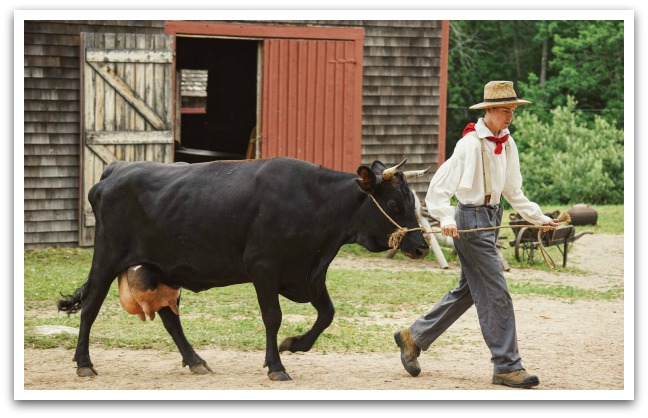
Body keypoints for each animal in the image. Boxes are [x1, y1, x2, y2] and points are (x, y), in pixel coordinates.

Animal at [58, 157, 428, 382]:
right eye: (394, 203)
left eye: (413, 202)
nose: (421, 246)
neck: (313, 203)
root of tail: (117, 169)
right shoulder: (264, 267)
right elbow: (273, 317)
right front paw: (276, 365)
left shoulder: (308, 274)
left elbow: (327, 314)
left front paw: (294, 344)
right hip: (107, 259)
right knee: (90, 309)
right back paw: (84, 364)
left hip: (159, 269)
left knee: (169, 318)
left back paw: (196, 361)